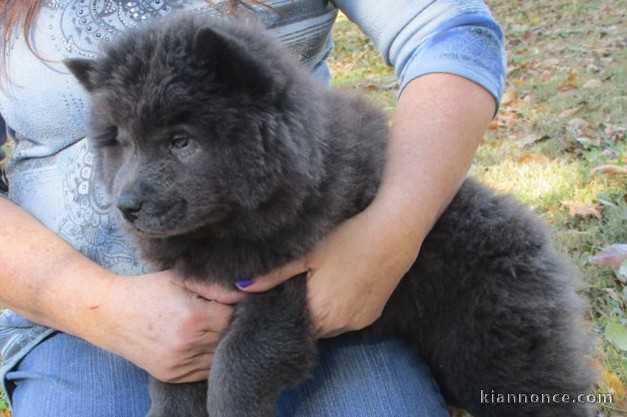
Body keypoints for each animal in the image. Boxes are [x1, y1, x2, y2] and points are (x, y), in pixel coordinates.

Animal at [66, 14, 596, 416]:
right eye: (121, 143)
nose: (126, 206)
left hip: (497, 357)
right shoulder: (193, 303)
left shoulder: (283, 288)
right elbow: (172, 379)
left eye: (181, 141)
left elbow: (237, 369)